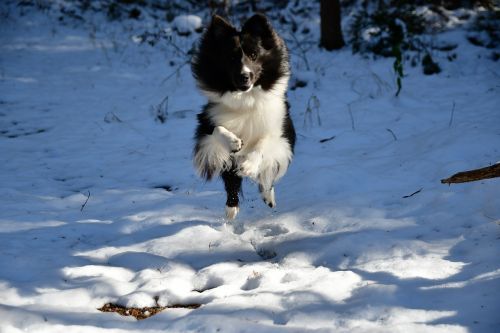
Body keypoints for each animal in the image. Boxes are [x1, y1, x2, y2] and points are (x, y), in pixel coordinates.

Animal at [190, 13, 292, 220]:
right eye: (230, 57)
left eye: (254, 55)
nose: (244, 76)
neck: (246, 99)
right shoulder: (206, 122)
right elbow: (216, 129)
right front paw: (234, 142)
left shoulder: (278, 131)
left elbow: (263, 143)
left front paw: (249, 166)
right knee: (231, 179)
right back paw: (231, 209)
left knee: (266, 176)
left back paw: (267, 196)